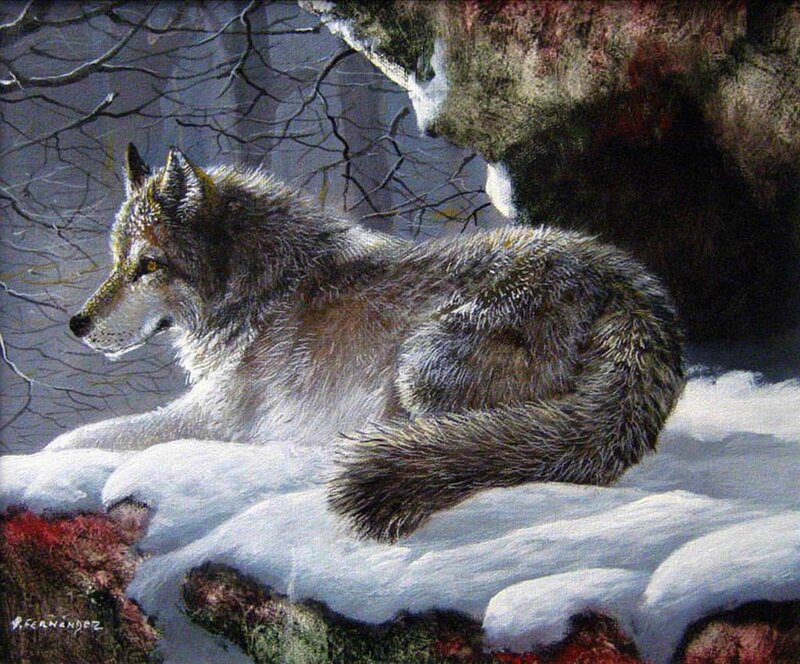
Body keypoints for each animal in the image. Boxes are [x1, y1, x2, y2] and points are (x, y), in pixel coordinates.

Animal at [47, 144, 685, 542]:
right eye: (117, 262)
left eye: (147, 267)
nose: (76, 323)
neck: (259, 287)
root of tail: (623, 283)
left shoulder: (216, 417)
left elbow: (90, 435)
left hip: (420, 367)